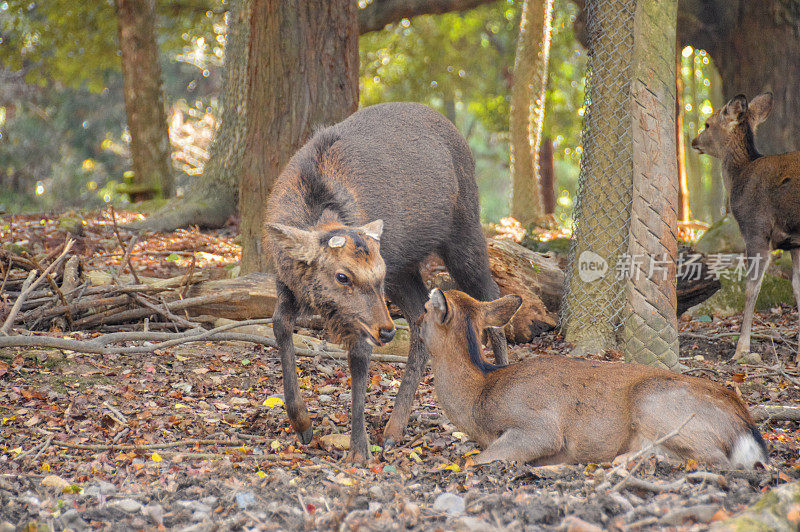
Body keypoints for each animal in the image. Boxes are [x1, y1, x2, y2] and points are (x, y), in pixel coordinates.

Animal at [266, 102, 510, 460]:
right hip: (405, 269)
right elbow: (280, 326)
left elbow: (359, 357)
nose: (387, 331)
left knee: (491, 293)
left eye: (376, 277)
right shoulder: (286, 285)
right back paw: (394, 429)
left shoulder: (373, 302)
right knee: (422, 317)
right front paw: (302, 423)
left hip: (463, 231)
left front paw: (358, 449)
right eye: (342, 276)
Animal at [424, 288, 768, 468]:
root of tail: (748, 431)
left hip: (656, 402)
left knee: (712, 459)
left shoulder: (538, 423)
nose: (414, 316)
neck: (479, 396)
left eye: (425, 309)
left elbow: (475, 461)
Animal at [688, 92, 800, 366]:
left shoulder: (756, 229)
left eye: (707, 123)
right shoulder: (793, 242)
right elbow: (796, 286)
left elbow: (752, 288)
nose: (694, 140)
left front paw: (741, 349)